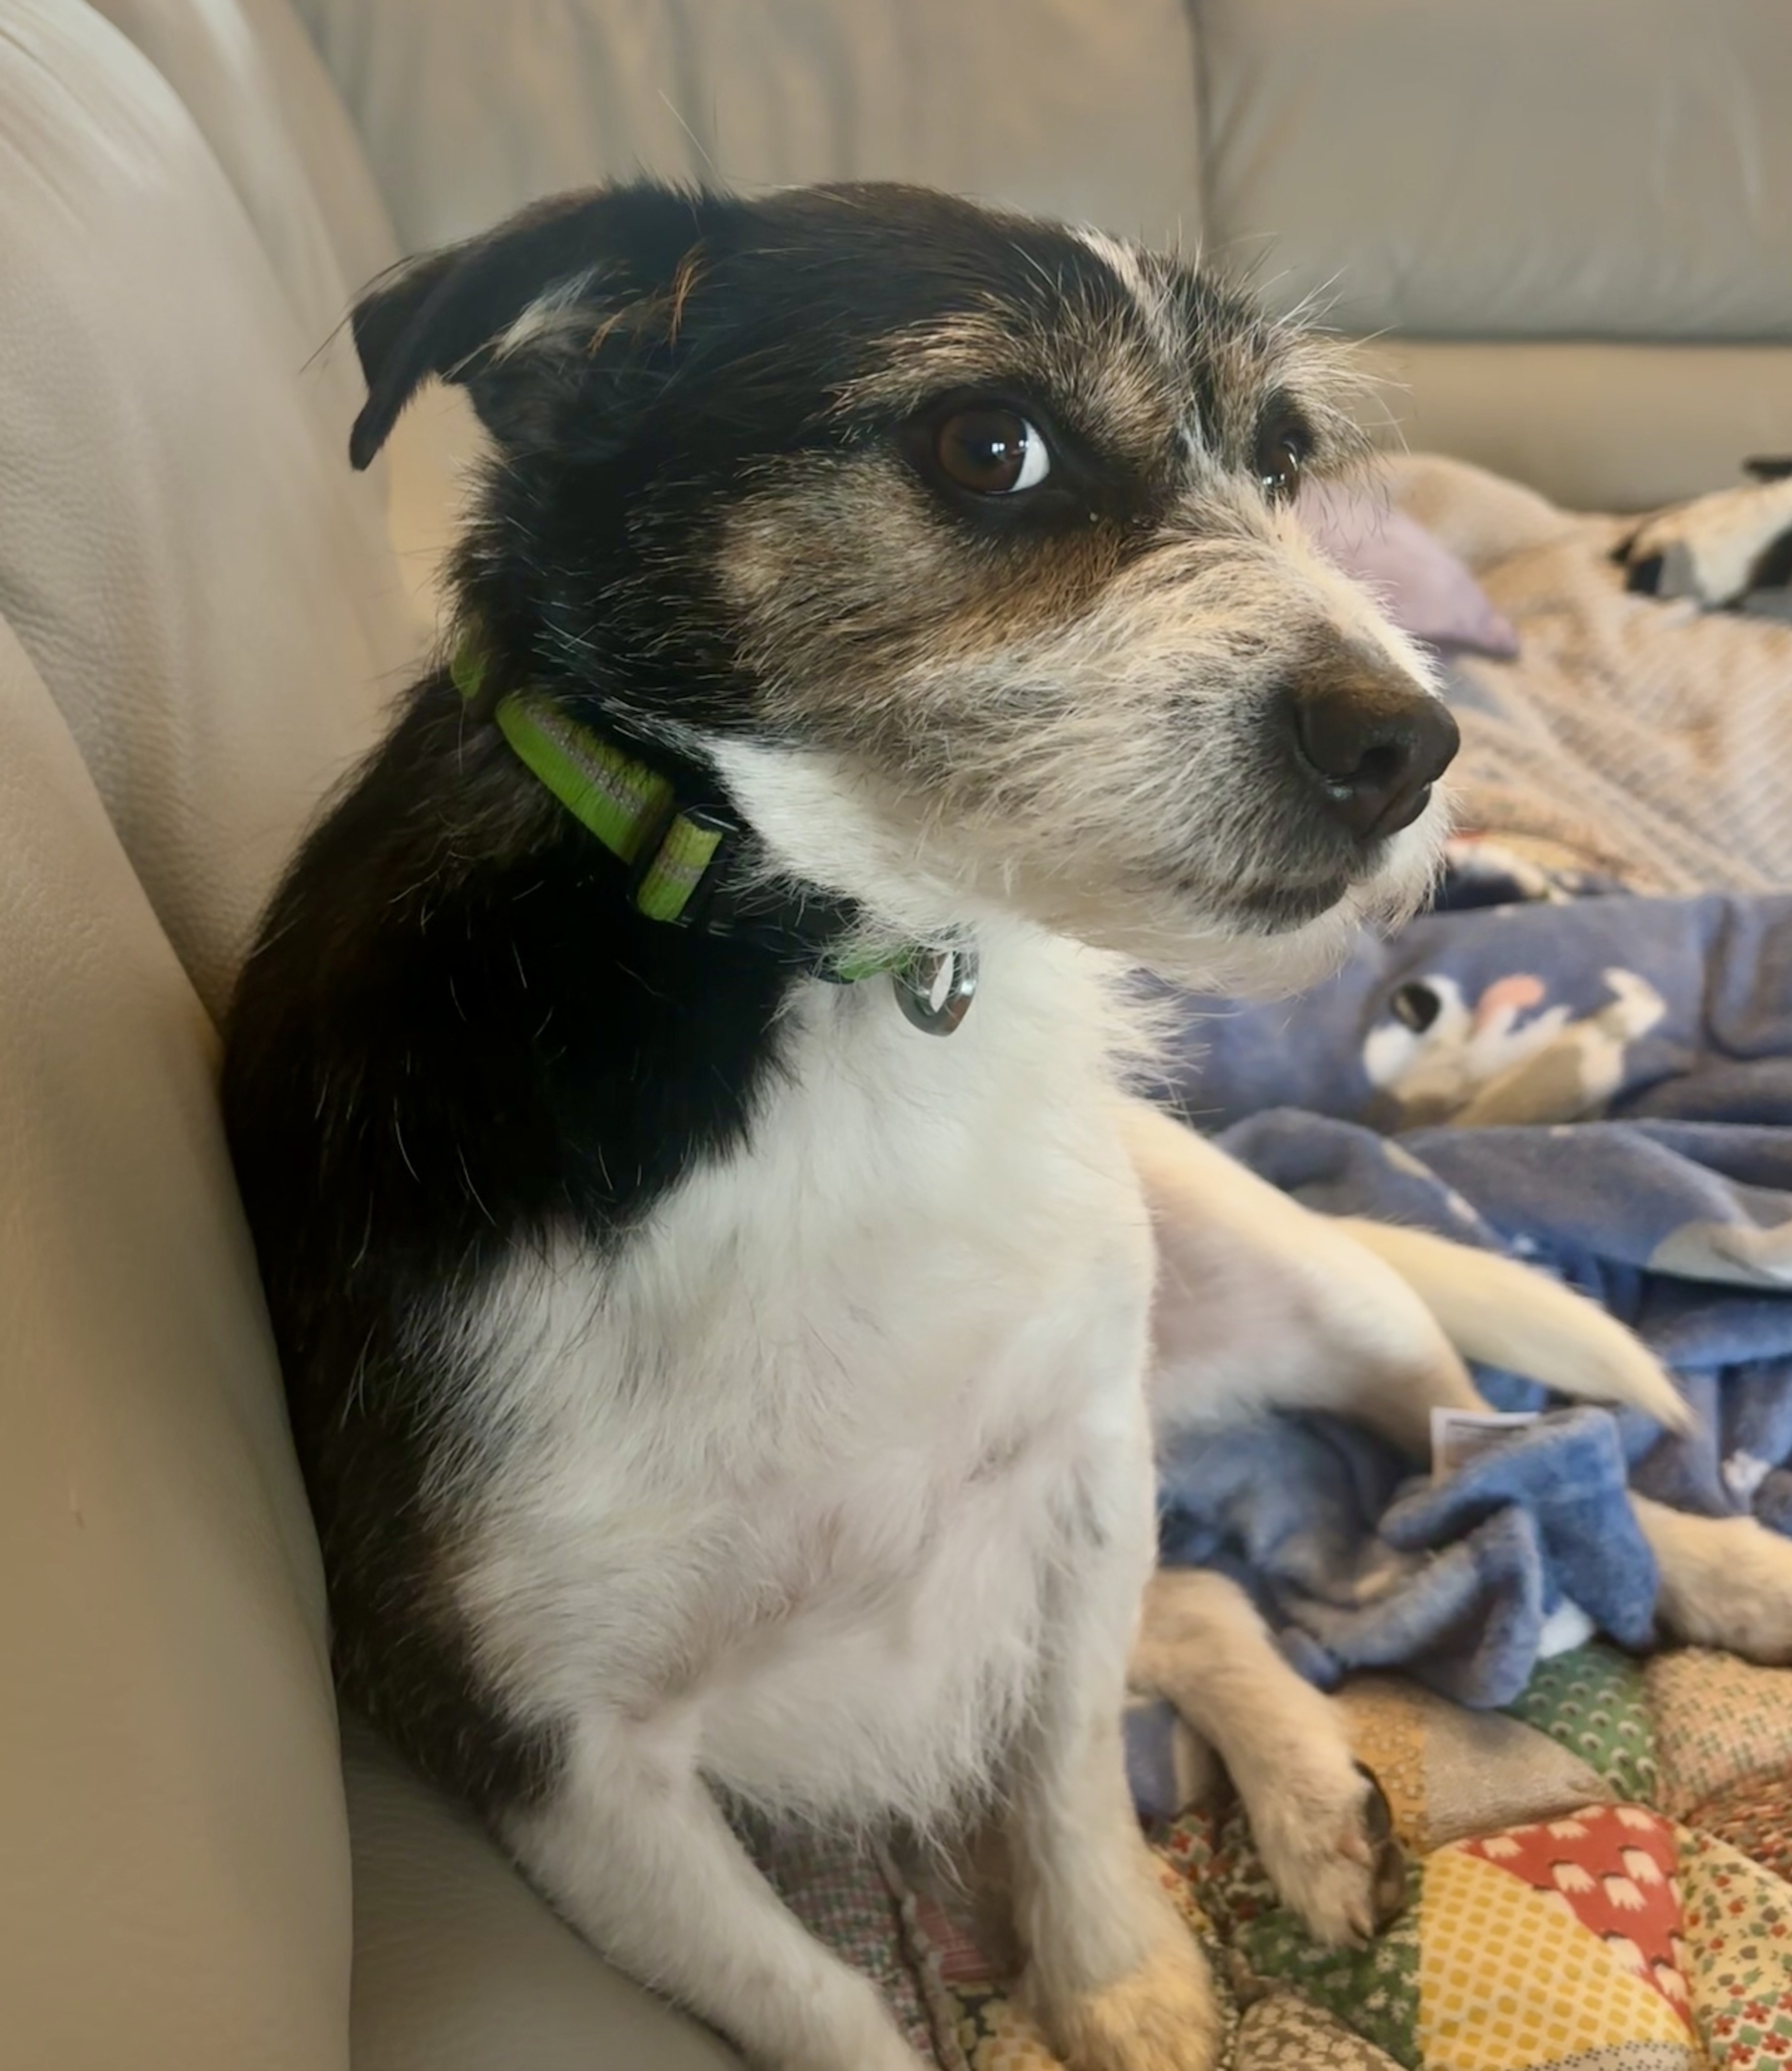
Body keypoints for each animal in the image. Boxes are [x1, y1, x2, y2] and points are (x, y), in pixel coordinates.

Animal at [226, 182, 1591, 2071]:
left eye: (1284, 456)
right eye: (989, 445)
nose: (1411, 743)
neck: (843, 974)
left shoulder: (1080, 1468)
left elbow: (1068, 1773)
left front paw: (1119, 1977)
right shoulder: (553, 1763)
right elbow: (825, 2009)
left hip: (1318, 1298)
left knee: (1490, 1440)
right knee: (1216, 1592)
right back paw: (1318, 1798)